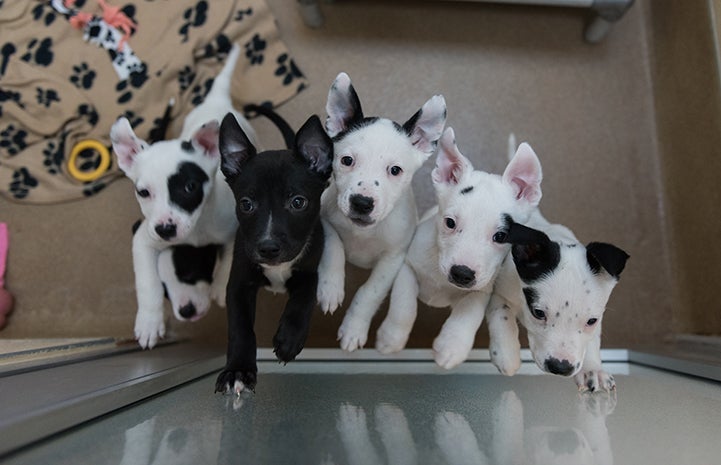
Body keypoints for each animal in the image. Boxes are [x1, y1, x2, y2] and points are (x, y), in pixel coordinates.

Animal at [109, 44, 258, 348]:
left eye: (189, 187)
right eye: (143, 192)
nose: (166, 230)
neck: (197, 229)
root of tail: (216, 98)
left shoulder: (232, 227)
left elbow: (227, 256)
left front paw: (219, 285)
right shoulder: (144, 239)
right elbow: (147, 281)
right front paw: (149, 321)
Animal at [214, 113, 334, 396]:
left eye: (298, 202)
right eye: (246, 204)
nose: (268, 248)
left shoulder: (309, 270)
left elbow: (304, 298)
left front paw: (289, 339)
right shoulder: (239, 283)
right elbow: (241, 327)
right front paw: (238, 371)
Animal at [318, 71, 448, 352]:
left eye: (395, 170)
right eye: (346, 160)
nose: (362, 202)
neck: (364, 233)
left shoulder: (393, 258)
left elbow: (370, 292)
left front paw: (354, 328)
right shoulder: (324, 217)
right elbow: (333, 246)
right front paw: (330, 287)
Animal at [376, 126, 540, 366]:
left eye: (501, 236)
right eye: (450, 223)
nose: (462, 273)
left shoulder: (483, 288)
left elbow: (469, 313)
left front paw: (452, 346)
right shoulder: (408, 267)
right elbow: (403, 305)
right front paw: (391, 338)